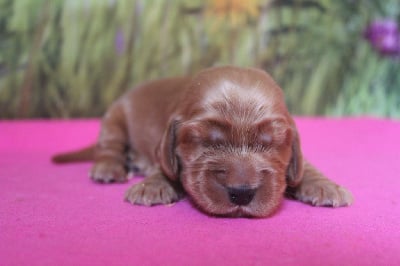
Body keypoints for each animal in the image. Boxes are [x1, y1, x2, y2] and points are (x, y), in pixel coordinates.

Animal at [52, 65, 354, 217]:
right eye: (204, 142)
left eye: (271, 143)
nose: (241, 193)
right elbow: (164, 166)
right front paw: (153, 185)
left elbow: (306, 166)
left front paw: (325, 186)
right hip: (115, 117)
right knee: (109, 146)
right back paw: (109, 168)